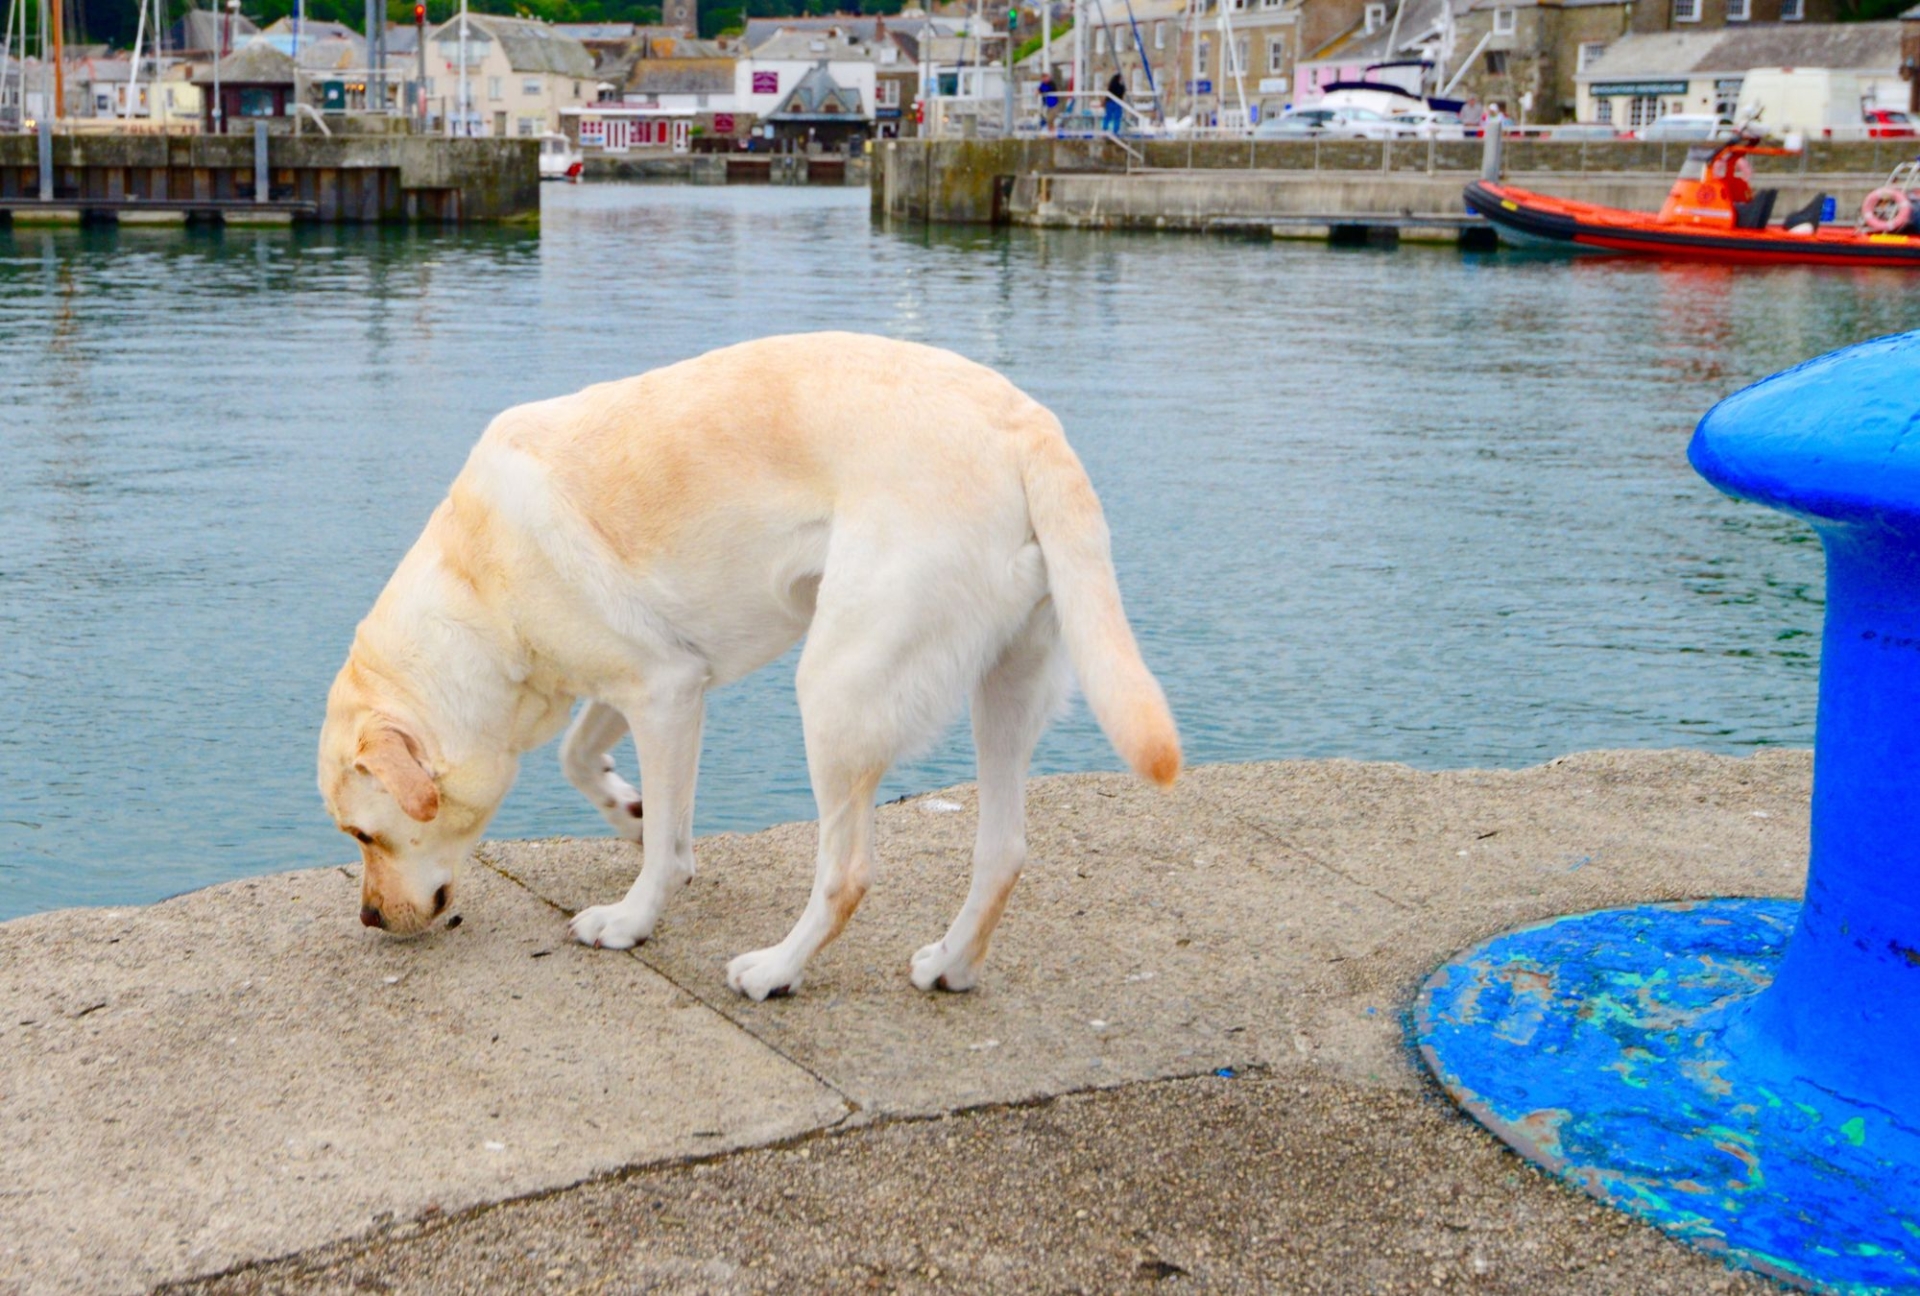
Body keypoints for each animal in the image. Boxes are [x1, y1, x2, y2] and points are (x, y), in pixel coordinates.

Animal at [318, 334, 1167, 1006]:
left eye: (361, 832)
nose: (367, 917)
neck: (477, 583)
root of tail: (1026, 426)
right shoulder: (656, 676)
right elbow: (585, 761)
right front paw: (630, 811)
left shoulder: (663, 694)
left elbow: (660, 848)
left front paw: (631, 919)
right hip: (1006, 688)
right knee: (1003, 851)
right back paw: (951, 965)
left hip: (836, 691)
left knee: (847, 872)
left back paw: (777, 971)